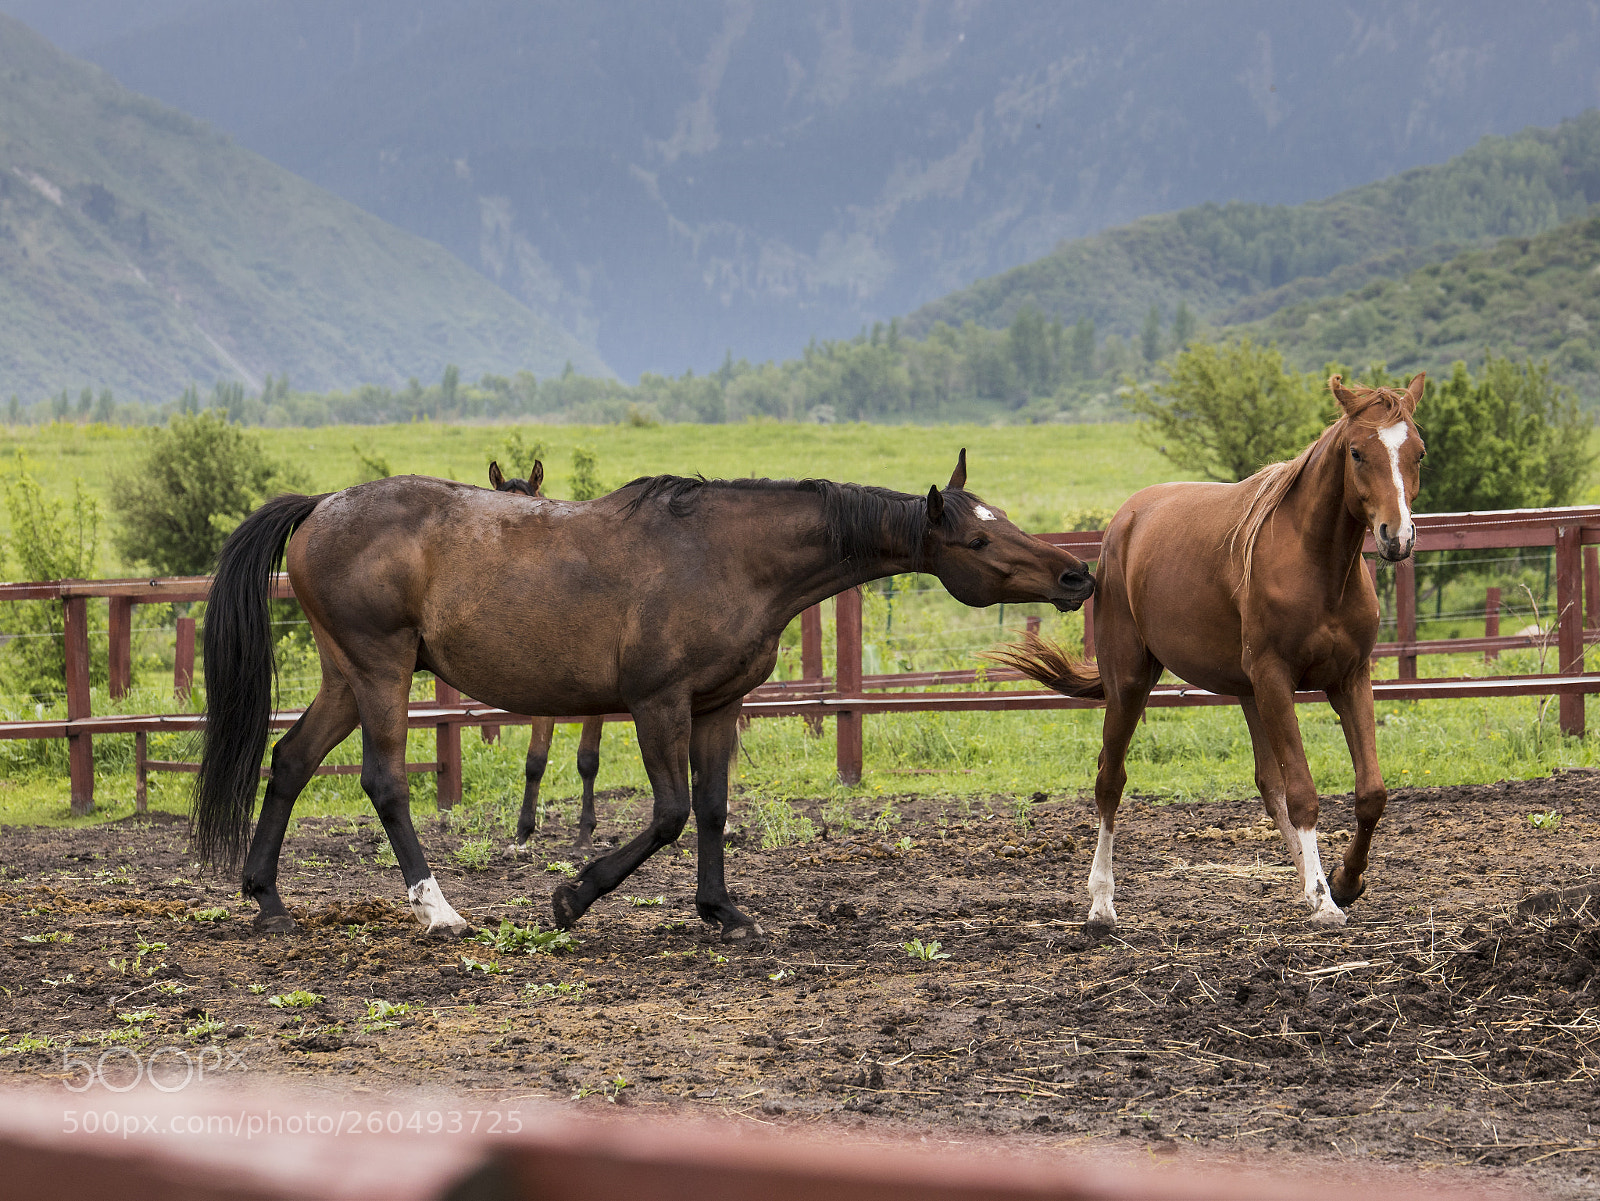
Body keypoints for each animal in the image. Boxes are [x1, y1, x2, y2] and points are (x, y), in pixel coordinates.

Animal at [993, 374, 1425, 930]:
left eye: (1418, 451)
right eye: (1356, 452)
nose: (1397, 537)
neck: (1317, 567)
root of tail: (1123, 522)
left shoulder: (1349, 678)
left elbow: (1370, 793)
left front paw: (1345, 883)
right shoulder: (1276, 680)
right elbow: (1304, 794)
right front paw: (1326, 902)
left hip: (1247, 693)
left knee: (1268, 784)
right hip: (1131, 682)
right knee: (1110, 780)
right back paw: (1102, 904)